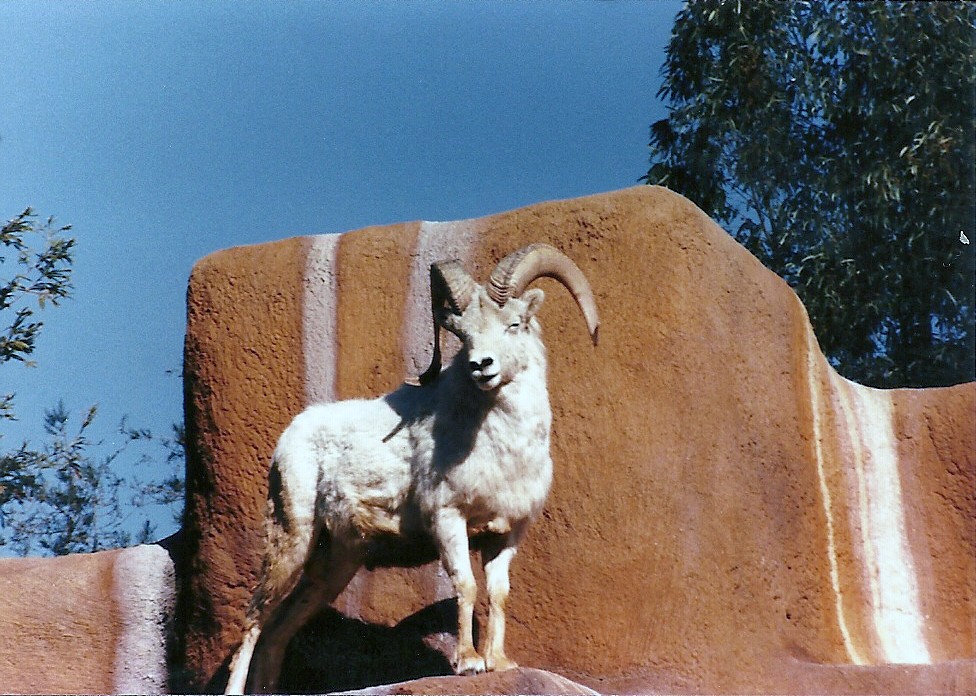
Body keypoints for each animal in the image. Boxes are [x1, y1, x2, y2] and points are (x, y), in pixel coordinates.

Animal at [224, 243, 600, 694]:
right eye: (462, 334)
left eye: (514, 324)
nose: (482, 365)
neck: (499, 446)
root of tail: (289, 437)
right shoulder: (448, 518)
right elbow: (466, 585)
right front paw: (469, 663)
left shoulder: (507, 534)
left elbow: (498, 593)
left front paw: (499, 663)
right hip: (291, 540)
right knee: (255, 620)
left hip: (335, 563)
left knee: (278, 632)